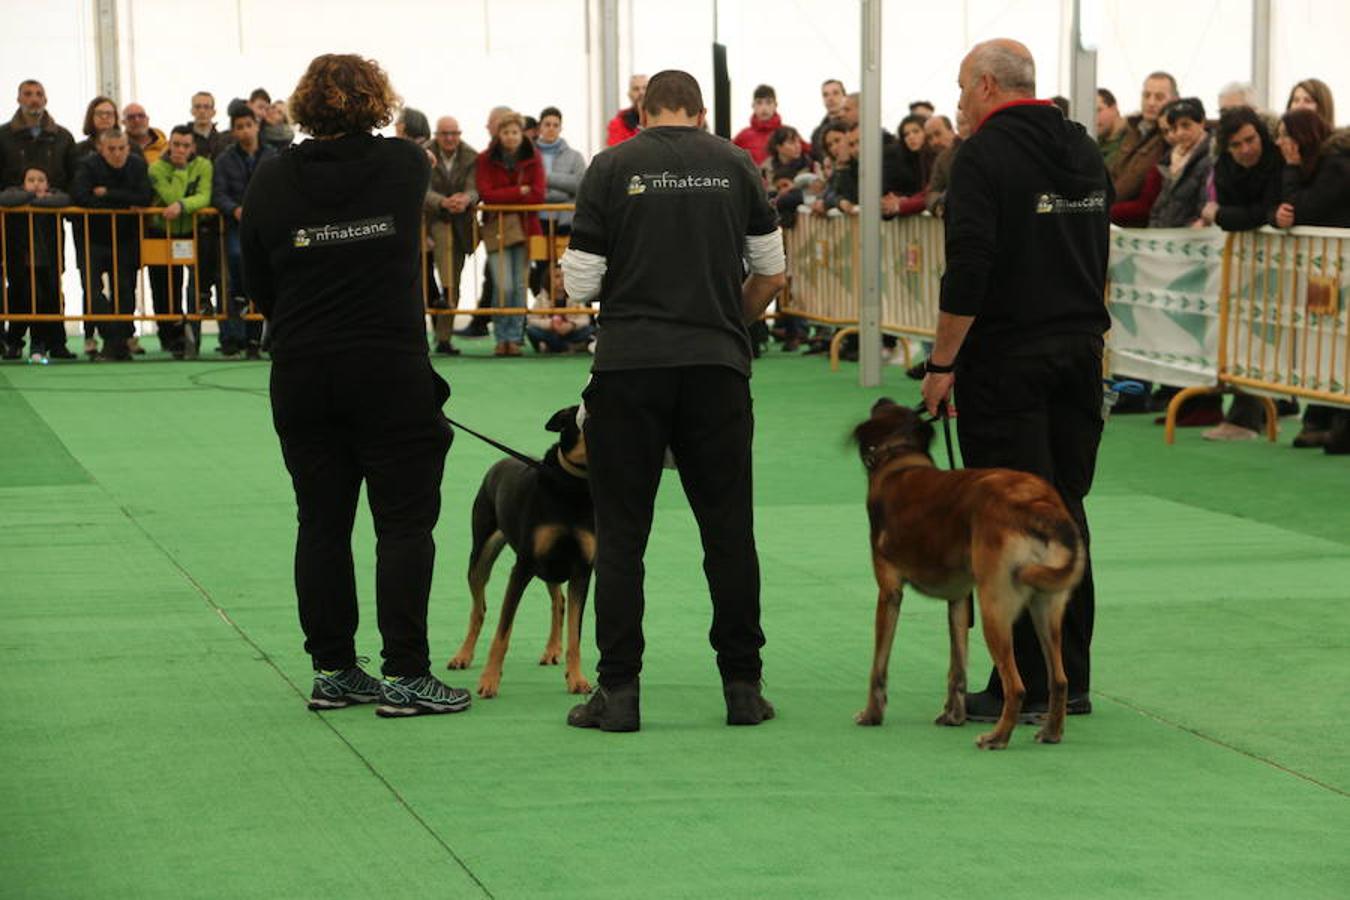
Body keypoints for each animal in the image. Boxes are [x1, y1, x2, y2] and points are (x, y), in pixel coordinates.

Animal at [450, 407, 594, 696]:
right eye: (584, 417)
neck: (572, 486)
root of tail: (501, 462)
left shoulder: (582, 571)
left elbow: (575, 635)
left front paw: (577, 679)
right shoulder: (524, 566)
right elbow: (502, 632)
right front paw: (489, 681)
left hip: (552, 566)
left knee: (558, 601)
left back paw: (552, 650)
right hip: (481, 556)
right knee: (479, 608)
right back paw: (463, 655)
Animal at [853, 399, 1085, 744]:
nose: (879, 399)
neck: (900, 460)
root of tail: (1038, 504)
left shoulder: (889, 592)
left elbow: (878, 665)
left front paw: (872, 714)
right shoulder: (960, 599)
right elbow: (958, 667)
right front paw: (954, 716)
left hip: (994, 608)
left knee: (1016, 686)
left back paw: (997, 737)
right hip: (1046, 608)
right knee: (1059, 678)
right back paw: (1050, 732)